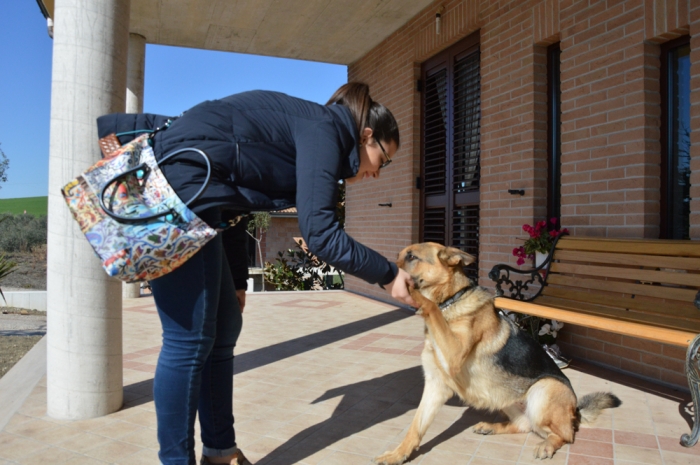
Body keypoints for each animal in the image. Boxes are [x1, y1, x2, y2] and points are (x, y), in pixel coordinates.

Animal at [374, 241, 620, 462]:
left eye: (411, 257)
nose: (386, 272)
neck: (451, 301)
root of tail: (575, 411)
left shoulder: (453, 355)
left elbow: (430, 305)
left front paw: (411, 291)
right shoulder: (436, 385)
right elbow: (415, 427)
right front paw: (398, 455)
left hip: (544, 389)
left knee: (565, 435)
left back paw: (548, 445)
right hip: (505, 396)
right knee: (525, 425)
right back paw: (491, 427)